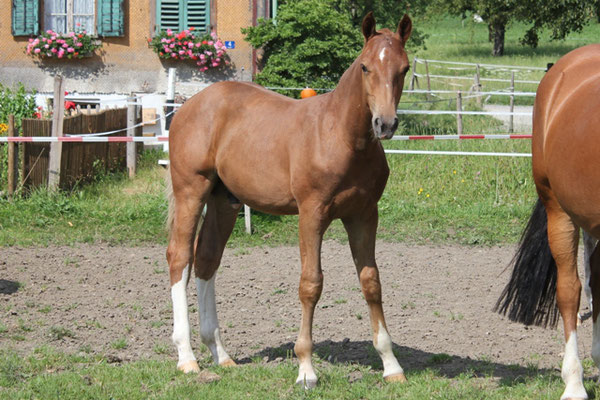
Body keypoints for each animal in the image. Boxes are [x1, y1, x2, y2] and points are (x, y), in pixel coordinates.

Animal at [165, 13, 412, 388]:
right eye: (366, 67)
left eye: (404, 68)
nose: (385, 123)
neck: (340, 136)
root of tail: (187, 106)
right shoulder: (311, 214)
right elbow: (311, 284)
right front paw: (306, 368)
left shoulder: (364, 215)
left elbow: (371, 282)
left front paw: (391, 364)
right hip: (191, 191)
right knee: (180, 257)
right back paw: (187, 358)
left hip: (225, 201)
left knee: (206, 260)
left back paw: (221, 355)